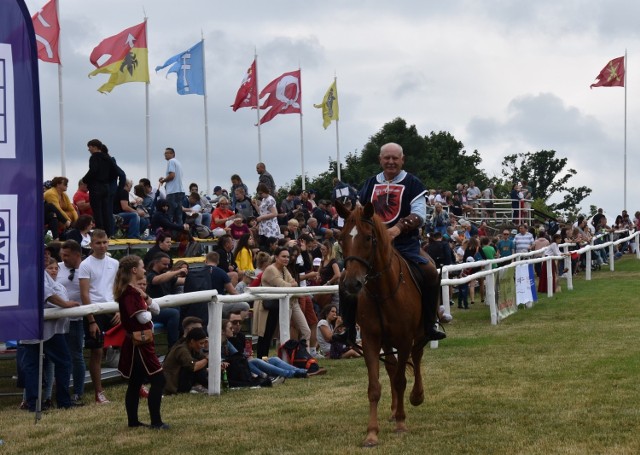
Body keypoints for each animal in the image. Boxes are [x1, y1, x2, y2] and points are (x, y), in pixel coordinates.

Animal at [336, 201, 440, 448]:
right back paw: (393, 410)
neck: (382, 292)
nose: (351, 283)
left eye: (367, 238)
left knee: (416, 359)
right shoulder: (371, 340)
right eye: (342, 238)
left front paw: (402, 422)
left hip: (418, 335)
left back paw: (416, 397)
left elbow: (402, 380)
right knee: (392, 367)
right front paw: (372, 433)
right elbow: (375, 387)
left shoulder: (404, 339)